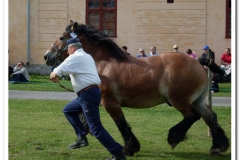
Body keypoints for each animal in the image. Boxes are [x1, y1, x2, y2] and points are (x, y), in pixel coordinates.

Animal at [44, 21, 230, 156]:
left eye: (61, 37)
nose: (47, 56)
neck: (105, 63)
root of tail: (198, 61)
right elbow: (81, 114)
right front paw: (82, 137)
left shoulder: (109, 101)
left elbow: (121, 123)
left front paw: (129, 148)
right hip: (197, 100)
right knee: (210, 117)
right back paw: (217, 147)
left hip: (180, 100)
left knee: (193, 116)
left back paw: (174, 137)